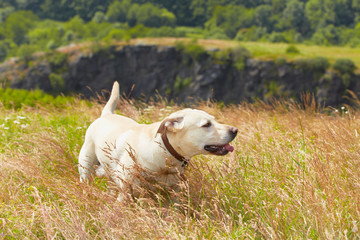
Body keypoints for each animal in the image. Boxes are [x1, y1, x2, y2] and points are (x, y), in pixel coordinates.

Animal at [79, 81, 236, 200]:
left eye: (215, 120)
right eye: (206, 124)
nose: (235, 130)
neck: (165, 151)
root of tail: (106, 115)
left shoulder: (175, 189)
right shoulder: (127, 189)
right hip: (86, 167)